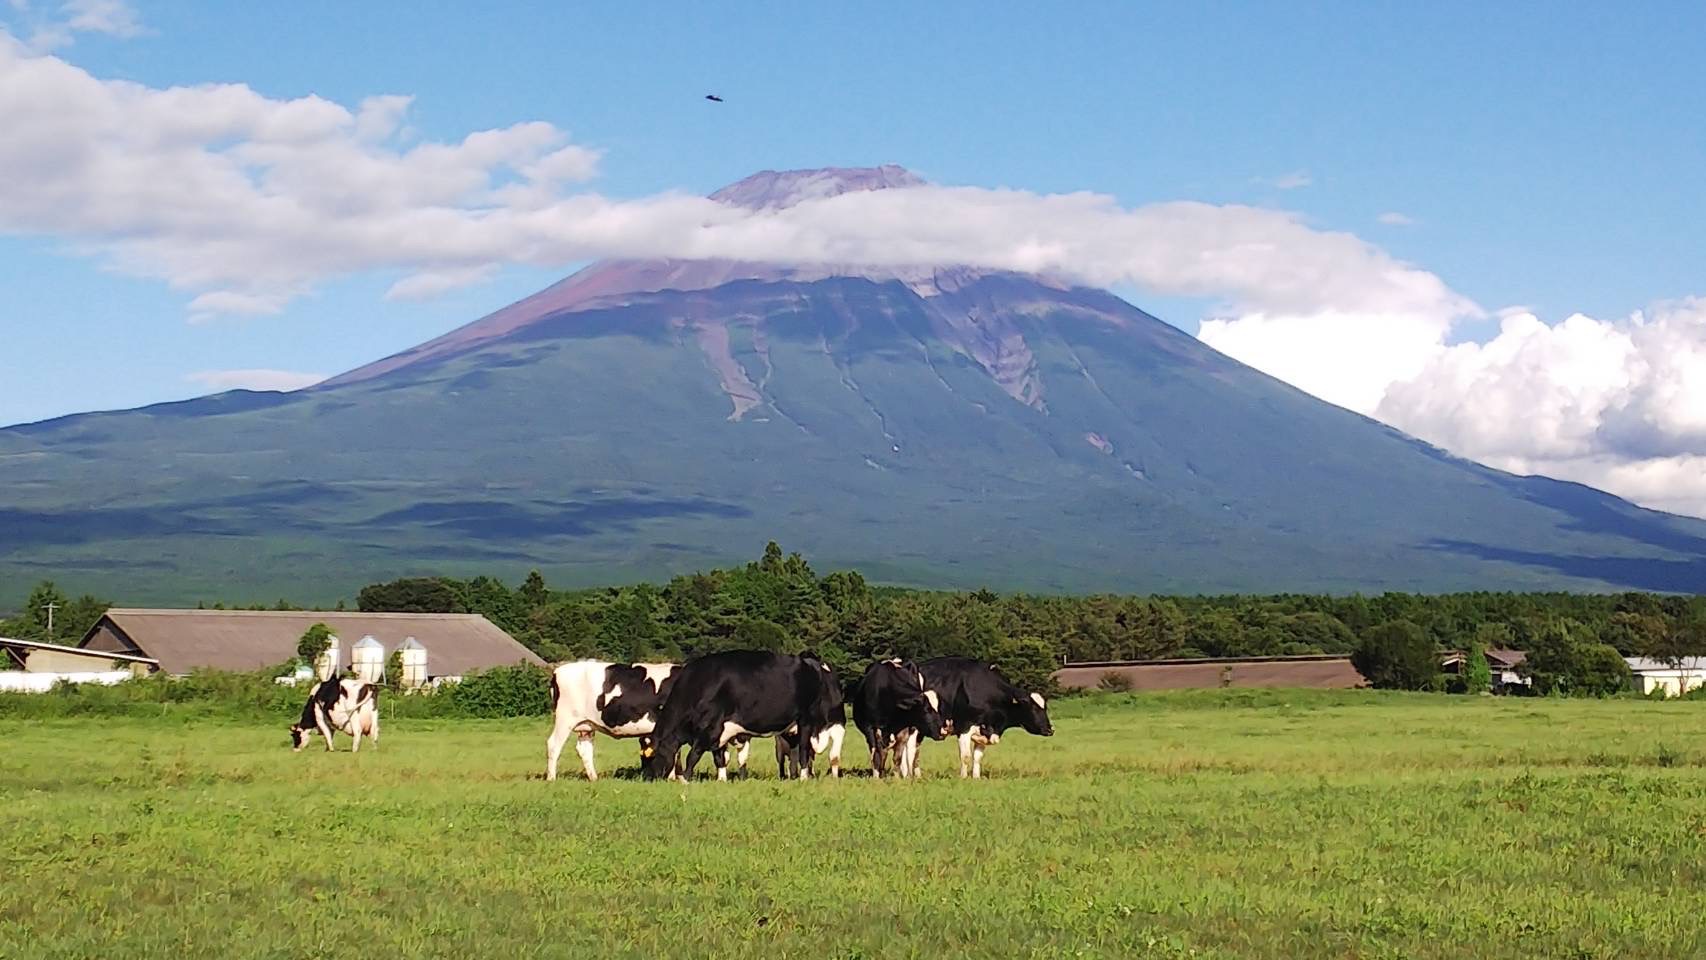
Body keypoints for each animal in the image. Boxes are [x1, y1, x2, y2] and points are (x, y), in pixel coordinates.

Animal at [641, 651, 842, 784]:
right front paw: (721, 780)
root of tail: (811, 663)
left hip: (806, 720)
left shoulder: (711, 727)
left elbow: (694, 755)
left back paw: (803, 777)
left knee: (804, 751)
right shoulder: (718, 732)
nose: (646, 777)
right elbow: (718, 757)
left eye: (651, 756)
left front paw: (685, 779)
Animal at [921, 658, 1050, 777]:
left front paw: (976, 778)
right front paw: (963, 778)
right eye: (1033, 708)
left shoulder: (983, 731)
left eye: (1045, 707)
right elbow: (965, 756)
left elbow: (977, 757)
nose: (1050, 729)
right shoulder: (964, 727)